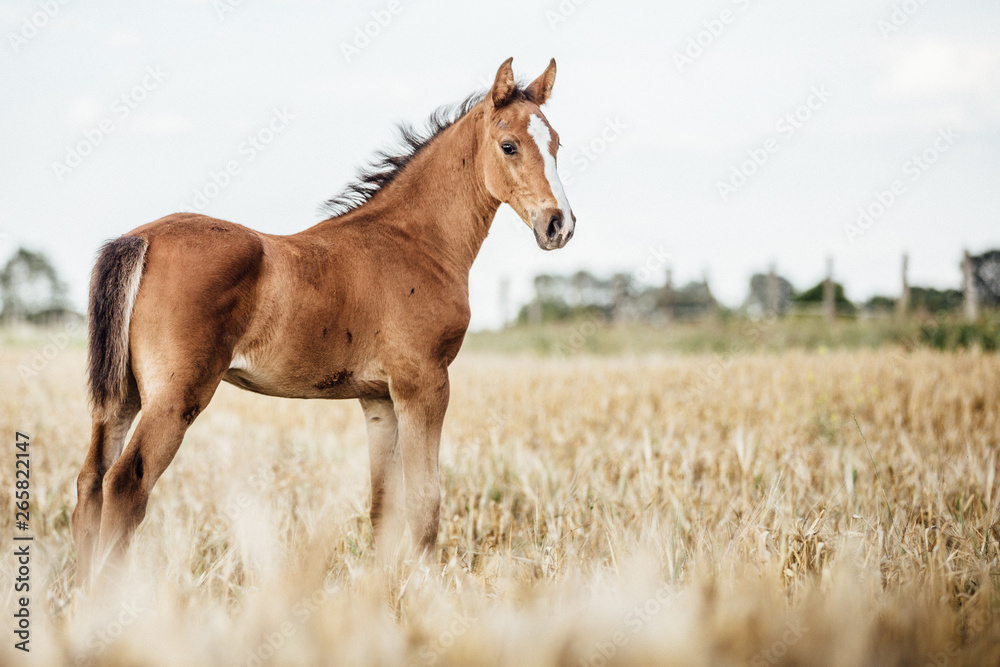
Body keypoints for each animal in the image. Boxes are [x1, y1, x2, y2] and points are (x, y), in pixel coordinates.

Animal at [72, 60, 580, 588]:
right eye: (509, 145)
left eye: (557, 143)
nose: (559, 225)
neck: (415, 242)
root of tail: (141, 239)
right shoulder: (424, 384)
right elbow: (426, 500)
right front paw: (427, 592)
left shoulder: (378, 399)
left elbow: (383, 506)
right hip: (176, 396)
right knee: (126, 483)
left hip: (123, 394)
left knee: (91, 480)